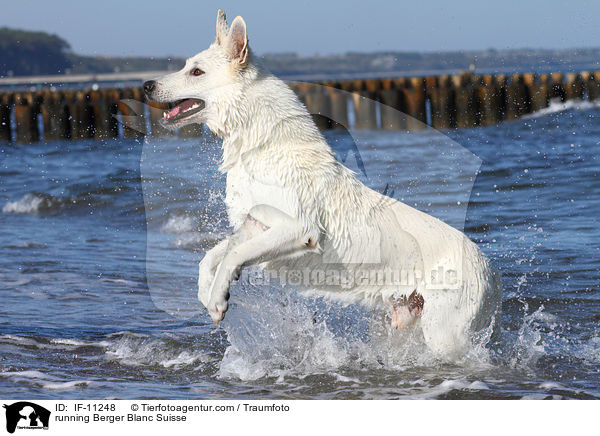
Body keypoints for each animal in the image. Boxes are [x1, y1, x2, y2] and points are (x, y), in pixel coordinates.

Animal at [145, 10, 502, 358]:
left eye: (196, 72)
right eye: (186, 66)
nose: (147, 85)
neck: (263, 145)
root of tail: (493, 274)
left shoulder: (298, 229)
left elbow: (234, 255)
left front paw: (218, 298)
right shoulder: (254, 226)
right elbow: (213, 256)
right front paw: (209, 295)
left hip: (444, 335)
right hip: (401, 323)